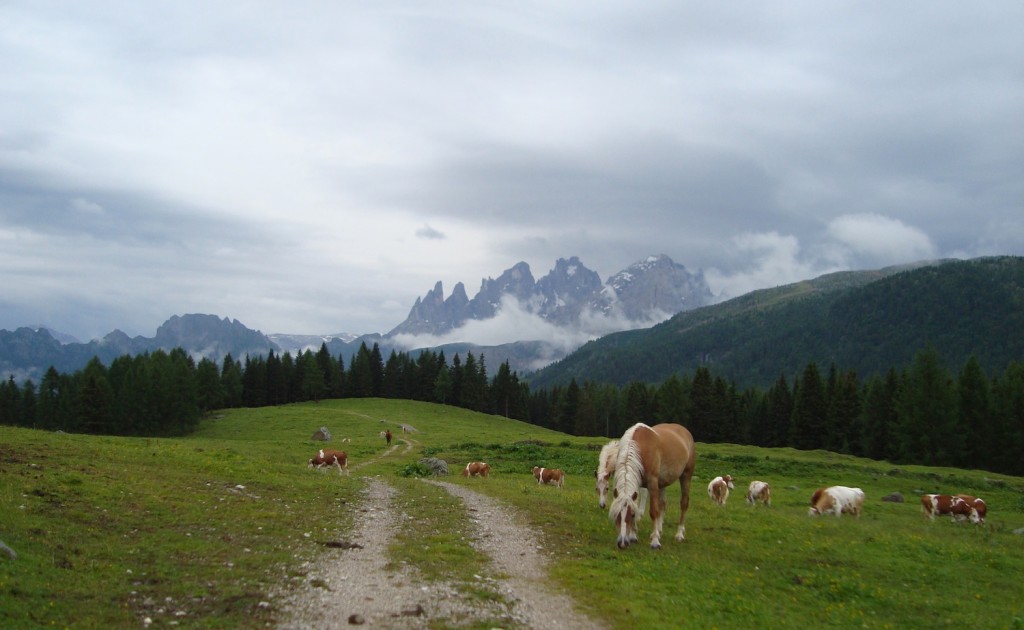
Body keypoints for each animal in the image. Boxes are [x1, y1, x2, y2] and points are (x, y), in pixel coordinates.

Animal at [606, 424, 696, 553]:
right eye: (616, 514)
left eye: (631, 515)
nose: (622, 543)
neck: (640, 448)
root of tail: (685, 431)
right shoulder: (638, 484)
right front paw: (633, 536)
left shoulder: (652, 483)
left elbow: (654, 512)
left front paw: (655, 542)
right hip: (662, 483)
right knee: (663, 504)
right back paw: (658, 530)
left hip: (686, 476)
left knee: (684, 503)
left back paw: (679, 534)